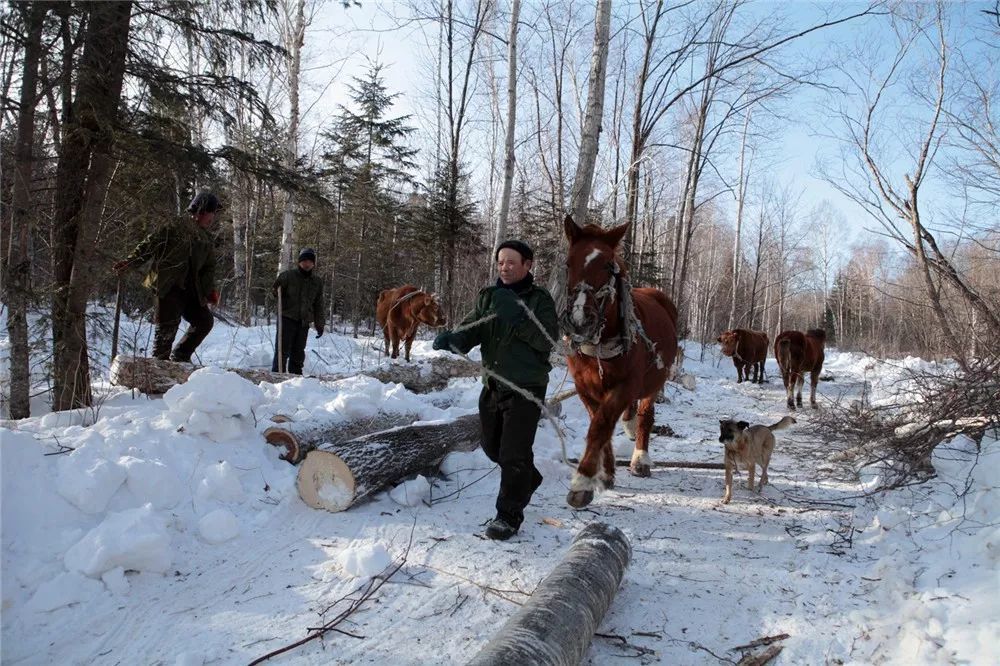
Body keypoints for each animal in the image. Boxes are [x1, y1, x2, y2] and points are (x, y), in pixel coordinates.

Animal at [564, 215, 680, 506]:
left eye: (607, 265)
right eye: (568, 263)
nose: (580, 320)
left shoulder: (626, 385)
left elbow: (601, 425)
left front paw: (582, 482)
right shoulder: (584, 387)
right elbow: (598, 422)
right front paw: (605, 472)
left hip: (655, 380)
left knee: (646, 415)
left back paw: (641, 458)